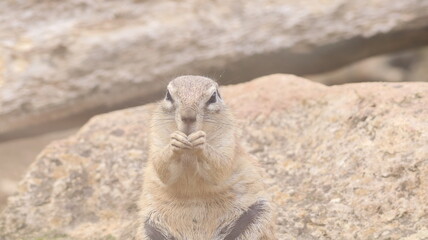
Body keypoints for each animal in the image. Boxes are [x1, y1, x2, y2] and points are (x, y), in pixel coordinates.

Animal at [139, 75, 276, 240]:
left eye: (213, 97)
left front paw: (202, 143)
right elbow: (161, 167)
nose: (188, 117)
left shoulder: (228, 140)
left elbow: (221, 168)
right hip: (149, 229)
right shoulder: (156, 138)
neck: (189, 152)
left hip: (256, 215)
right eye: (168, 95)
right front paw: (174, 142)